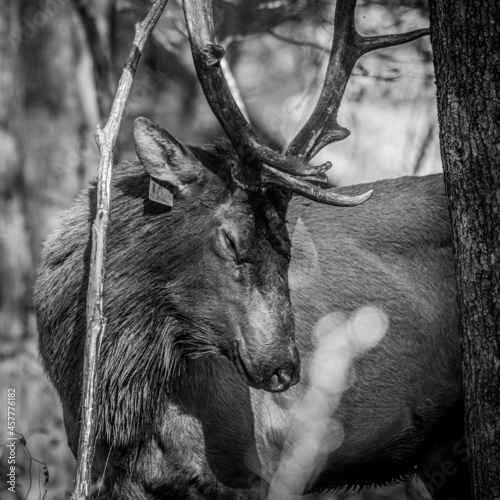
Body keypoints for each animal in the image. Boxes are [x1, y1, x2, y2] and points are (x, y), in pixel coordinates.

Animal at [33, 0, 466, 498]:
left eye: (288, 246)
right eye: (229, 238)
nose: (284, 367)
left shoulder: (256, 468)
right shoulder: (119, 478)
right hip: (438, 448)